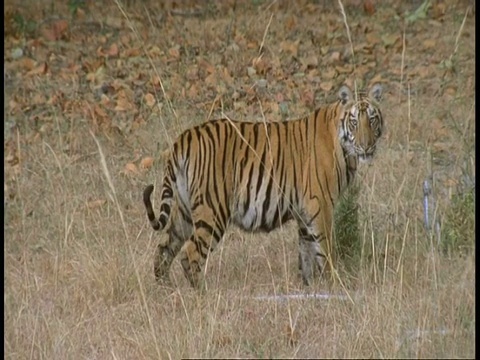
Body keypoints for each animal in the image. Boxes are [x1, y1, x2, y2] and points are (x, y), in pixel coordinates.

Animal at [142, 83, 382, 288]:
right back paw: (202, 294)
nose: (366, 146)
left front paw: (309, 288)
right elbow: (325, 249)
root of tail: (183, 138)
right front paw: (334, 284)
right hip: (212, 210)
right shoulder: (320, 204)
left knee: (164, 249)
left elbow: (306, 253)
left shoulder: (304, 211)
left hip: (184, 211)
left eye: (372, 120)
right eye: (354, 122)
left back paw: (167, 290)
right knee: (189, 254)